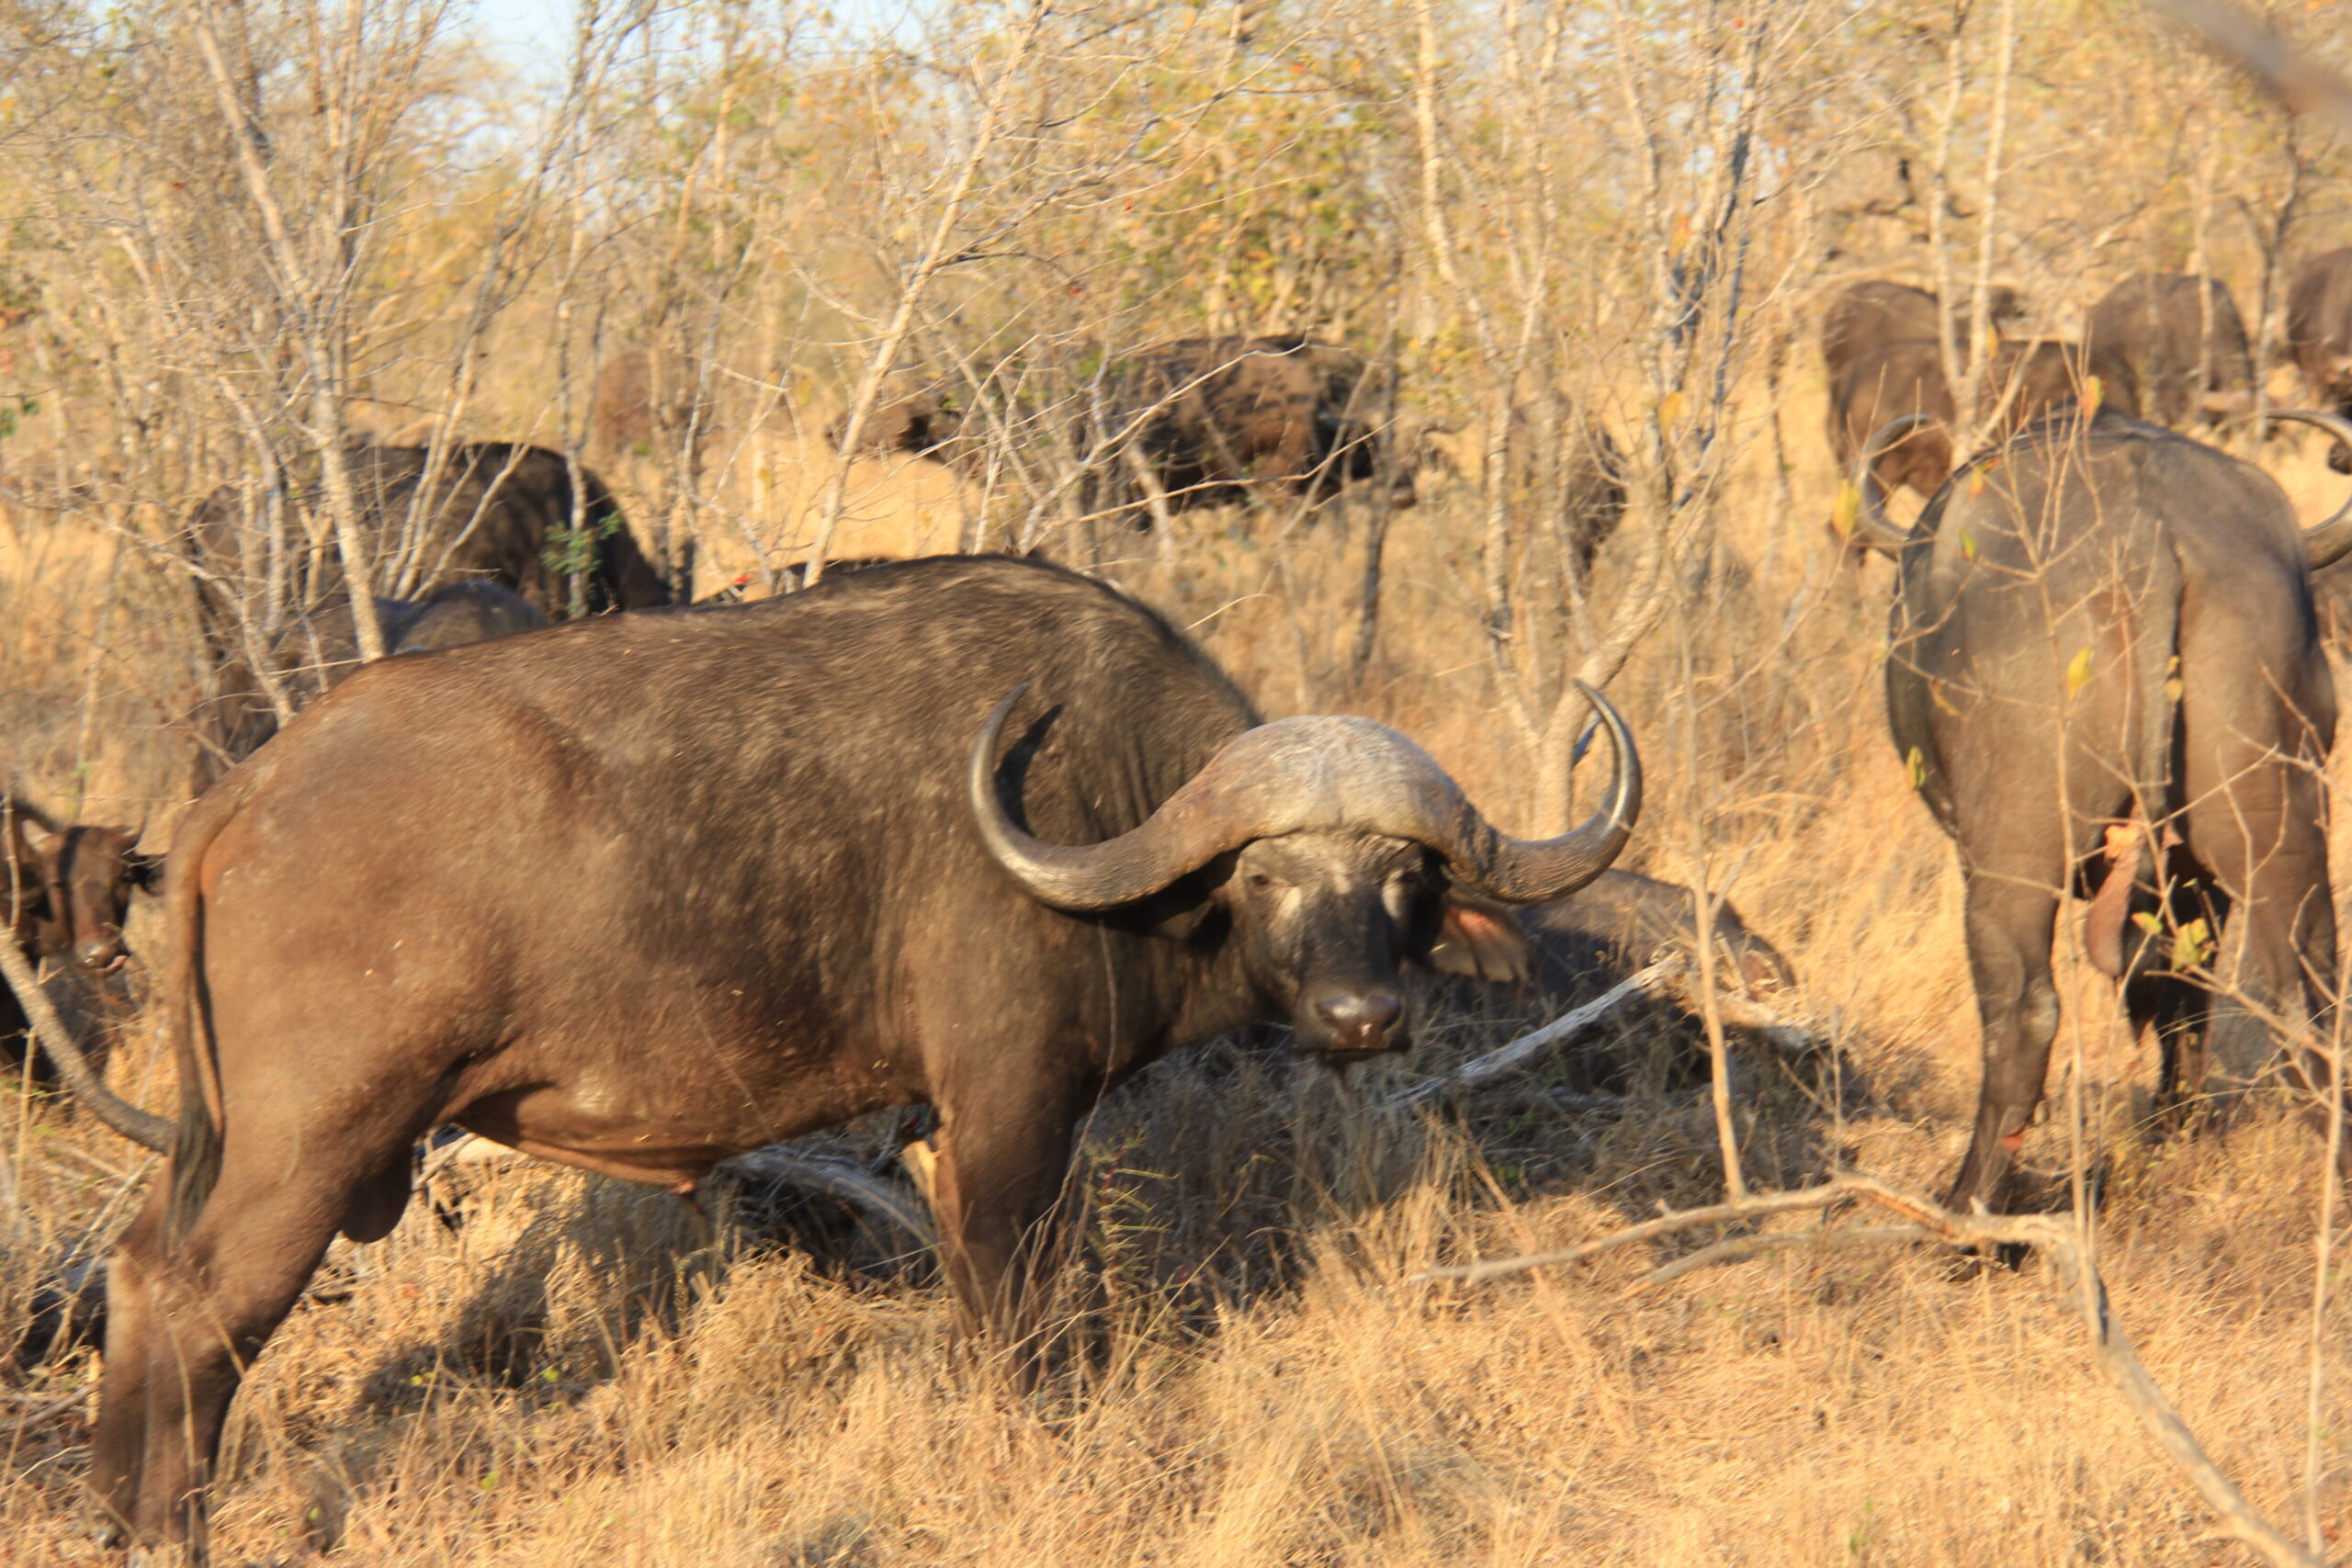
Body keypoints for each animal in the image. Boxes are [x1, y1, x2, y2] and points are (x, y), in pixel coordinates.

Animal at [92, 554, 1639, 1553]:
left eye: (1407, 875)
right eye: (1267, 875)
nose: (1361, 1016)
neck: (1105, 819)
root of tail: (247, 789)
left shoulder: (947, 1133)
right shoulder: (1011, 1110)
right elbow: (1014, 1312)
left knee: (134, 1265)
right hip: (313, 1143)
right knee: (196, 1300)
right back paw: (170, 1521)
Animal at [1848, 405, 2352, 1211]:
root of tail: (2148, 541)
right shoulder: (2196, 881)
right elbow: (2183, 992)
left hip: (2012, 854)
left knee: (2024, 1010)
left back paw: (1966, 1205)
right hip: (2275, 826)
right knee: (2305, 994)